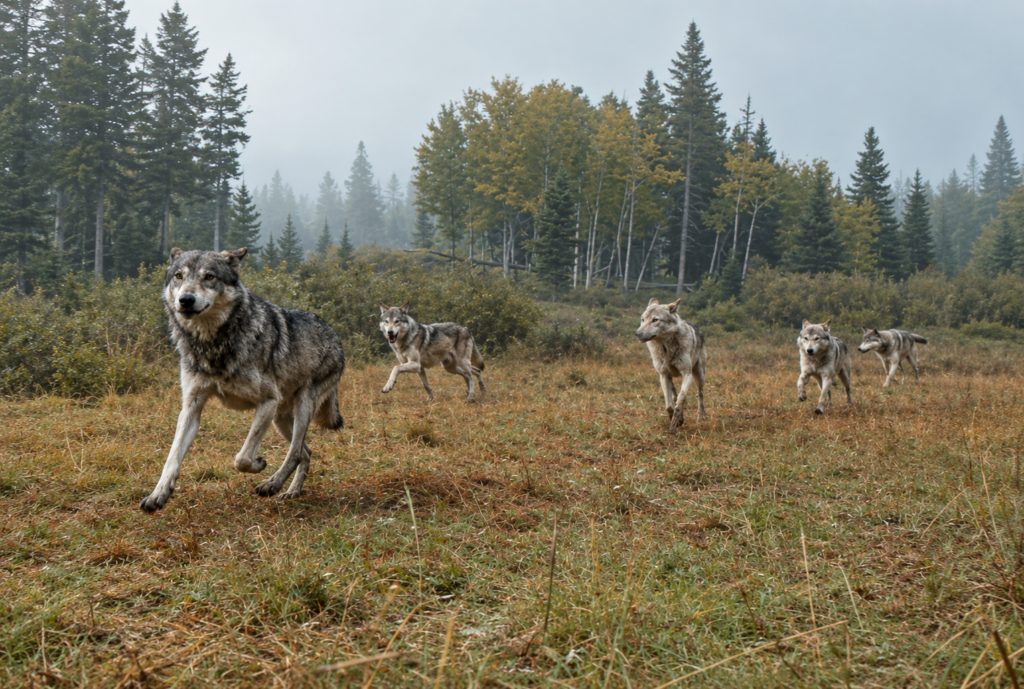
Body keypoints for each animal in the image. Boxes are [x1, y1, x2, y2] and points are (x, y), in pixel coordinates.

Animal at [139, 247, 345, 513]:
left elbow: (242, 458)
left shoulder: (267, 401)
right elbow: (172, 458)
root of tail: (334, 334)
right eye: (178, 276)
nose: (185, 300)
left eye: (209, 277)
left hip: (301, 407)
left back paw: (271, 485)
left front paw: (258, 464)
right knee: (305, 451)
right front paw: (158, 495)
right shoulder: (191, 407)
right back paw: (291, 492)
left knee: (295, 452)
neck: (212, 345)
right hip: (280, 418)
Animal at [635, 298, 707, 432]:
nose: (637, 333)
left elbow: (681, 399)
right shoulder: (663, 375)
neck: (666, 348)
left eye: (655, 320)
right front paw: (675, 419)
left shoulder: (687, 374)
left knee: (699, 393)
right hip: (671, 378)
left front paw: (675, 422)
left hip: (699, 375)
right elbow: (669, 405)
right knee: (674, 395)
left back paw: (701, 416)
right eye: (643, 320)